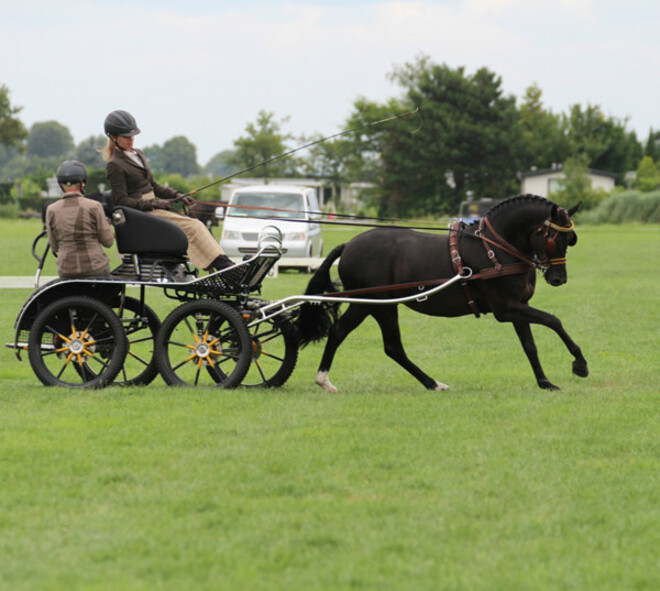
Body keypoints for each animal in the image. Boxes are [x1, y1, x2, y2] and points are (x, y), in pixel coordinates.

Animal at [293, 194, 588, 392]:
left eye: (571, 239)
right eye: (554, 239)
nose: (558, 278)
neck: (494, 249)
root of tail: (350, 244)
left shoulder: (517, 306)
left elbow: (530, 345)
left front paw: (545, 381)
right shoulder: (505, 308)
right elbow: (553, 320)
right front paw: (580, 364)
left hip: (373, 305)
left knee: (370, 341)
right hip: (374, 304)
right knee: (371, 341)